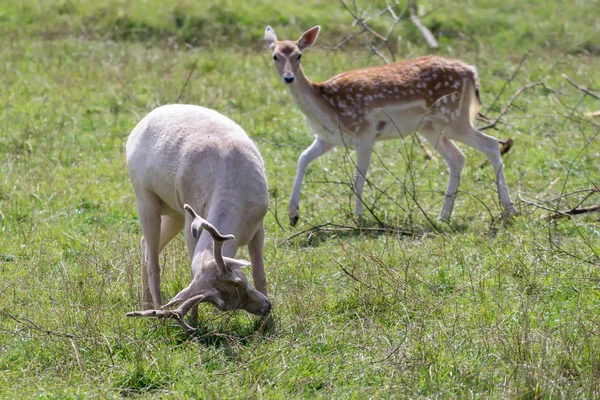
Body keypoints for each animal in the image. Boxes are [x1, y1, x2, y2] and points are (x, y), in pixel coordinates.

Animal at [125, 104, 270, 332]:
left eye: (241, 281)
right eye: (225, 305)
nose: (266, 307)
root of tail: (142, 122)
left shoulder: (259, 224)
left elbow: (260, 273)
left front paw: (265, 327)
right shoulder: (190, 217)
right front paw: (193, 320)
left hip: (174, 211)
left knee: (144, 245)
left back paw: (146, 306)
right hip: (144, 197)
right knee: (153, 261)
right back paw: (157, 316)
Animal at [264, 25, 516, 225]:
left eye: (299, 55)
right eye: (275, 56)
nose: (288, 78)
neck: (326, 107)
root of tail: (472, 72)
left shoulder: (365, 133)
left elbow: (358, 177)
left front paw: (358, 218)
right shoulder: (327, 139)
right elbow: (302, 158)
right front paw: (293, 214)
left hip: (455, 119)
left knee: (491, 144)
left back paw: (509, 209)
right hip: (431, 127)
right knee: (458, 158)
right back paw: (443, 216)